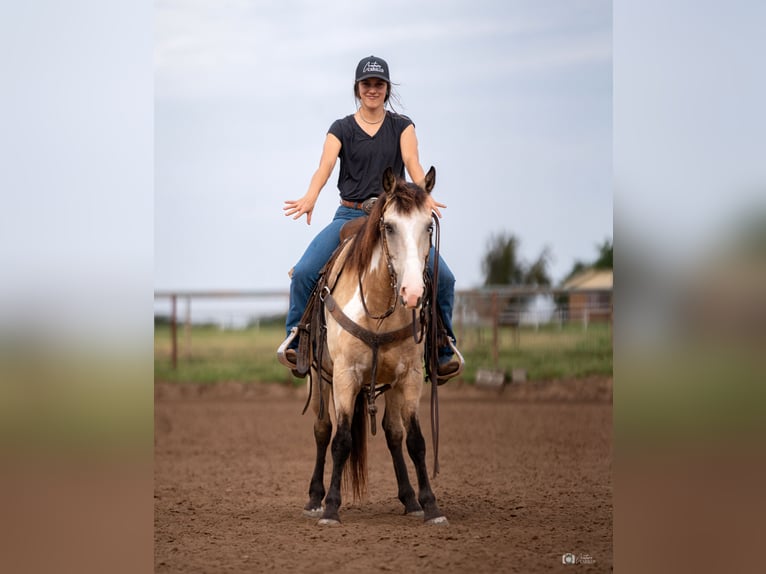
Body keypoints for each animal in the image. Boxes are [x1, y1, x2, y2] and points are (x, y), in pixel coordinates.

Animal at [280, 165, 452, 528]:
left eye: (429, 226)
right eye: (389, 226)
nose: (413, 293)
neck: (377, 305)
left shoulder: (410, 377)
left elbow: (414, 440)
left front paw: (430, 506)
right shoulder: (345, 376)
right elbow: (341, 439)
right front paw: (331, 508)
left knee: (392, 432)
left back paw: (409, 499)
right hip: (321, 378)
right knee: (322, 430)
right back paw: (314, 498)